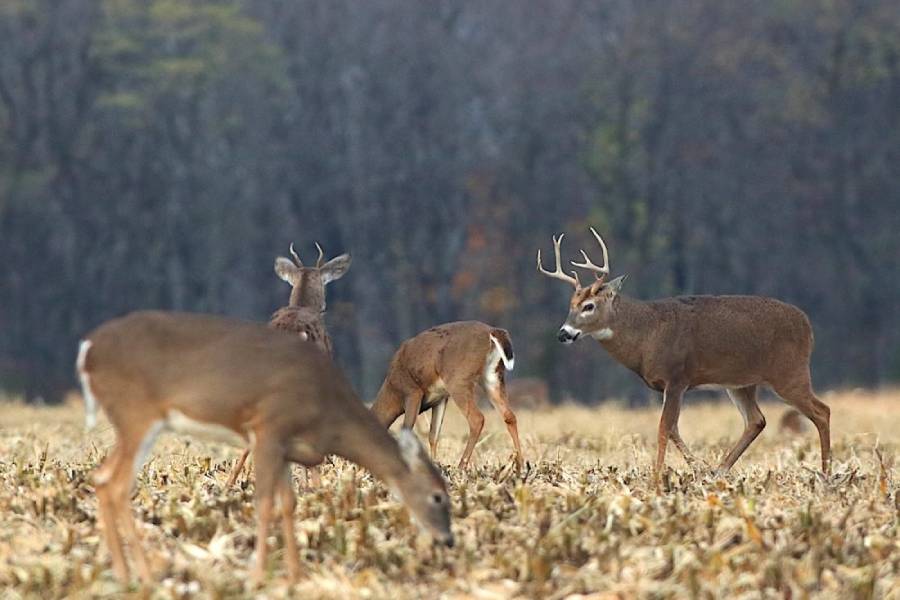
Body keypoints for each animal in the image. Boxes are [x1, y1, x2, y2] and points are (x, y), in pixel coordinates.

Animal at [76, 310, 452, 585]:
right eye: (438, 496)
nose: (448, 540)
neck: (327, 414)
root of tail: (88, 350)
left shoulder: (286, 447)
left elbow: (288, 503)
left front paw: (295, 575)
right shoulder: (269, 429)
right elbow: (265, 503)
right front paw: (258, 576)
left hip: (129, 422)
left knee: (101, 478)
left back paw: (125, 572)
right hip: (137, 413)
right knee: (116, 484)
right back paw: (143, 575)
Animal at [370, 321, 524, 471]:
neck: (393, 390)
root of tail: (492, 331)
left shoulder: (413, 392)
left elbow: (407, 429)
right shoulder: (441, 398)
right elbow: (433, 435)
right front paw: (435, 464)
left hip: (458, 379)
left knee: (477, 418)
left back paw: (461, 466)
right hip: (493, 377)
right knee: (509, 416)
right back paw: (520, 465)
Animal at [537, 228, 831, 479]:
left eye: (589, 306)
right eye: (571, 304)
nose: (563, 333)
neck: (646, 334)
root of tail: (808, 326)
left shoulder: (677, 377)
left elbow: (664, 428)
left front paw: (656, 478)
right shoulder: (666, 385)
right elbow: (674, 429)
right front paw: (698, 468)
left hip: (789, 373)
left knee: (822, 411)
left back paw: (826, 473)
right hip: (741, 383)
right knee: (757, 420)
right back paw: (719, 470)